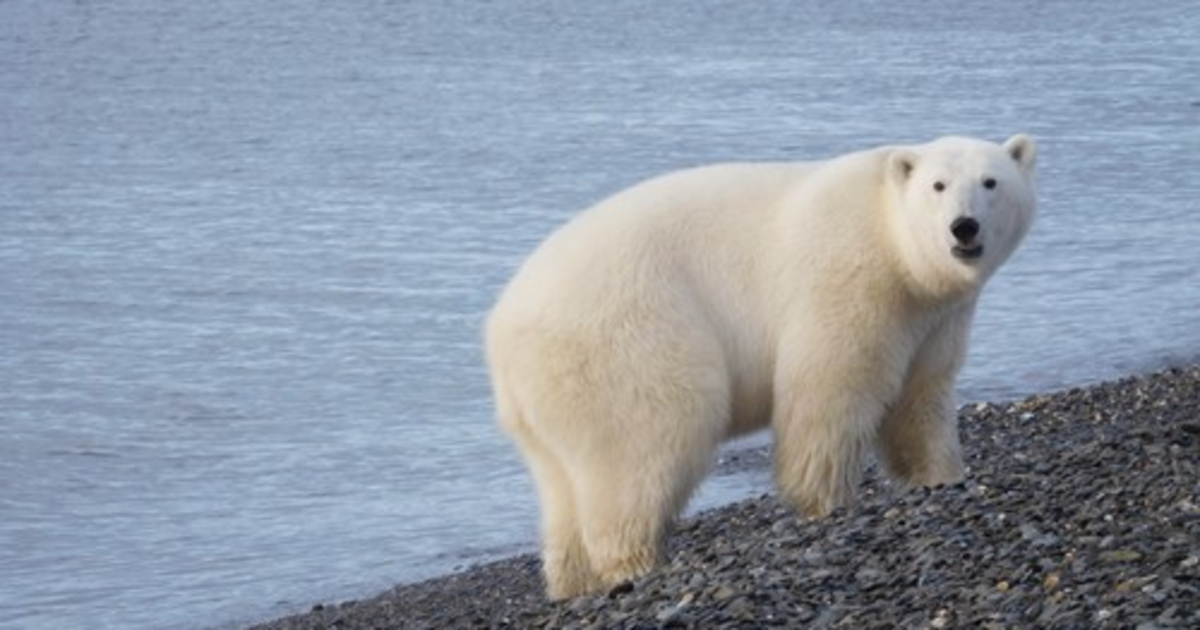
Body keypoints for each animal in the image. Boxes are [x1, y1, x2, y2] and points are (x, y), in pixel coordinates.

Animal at [485, 134, 1037, 599]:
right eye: (937, 185)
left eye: (990, 182)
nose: (963, 227)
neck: (896, 248)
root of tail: (501, 329)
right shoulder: (849, 280)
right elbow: (830, 387)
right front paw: (826, 501)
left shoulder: (934, 317)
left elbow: (921, 396)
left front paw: (940, 477)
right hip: (626, 339)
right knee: (649, 439)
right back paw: (636, 563)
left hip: (546, 399)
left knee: (562, 484)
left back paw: (573, 581)